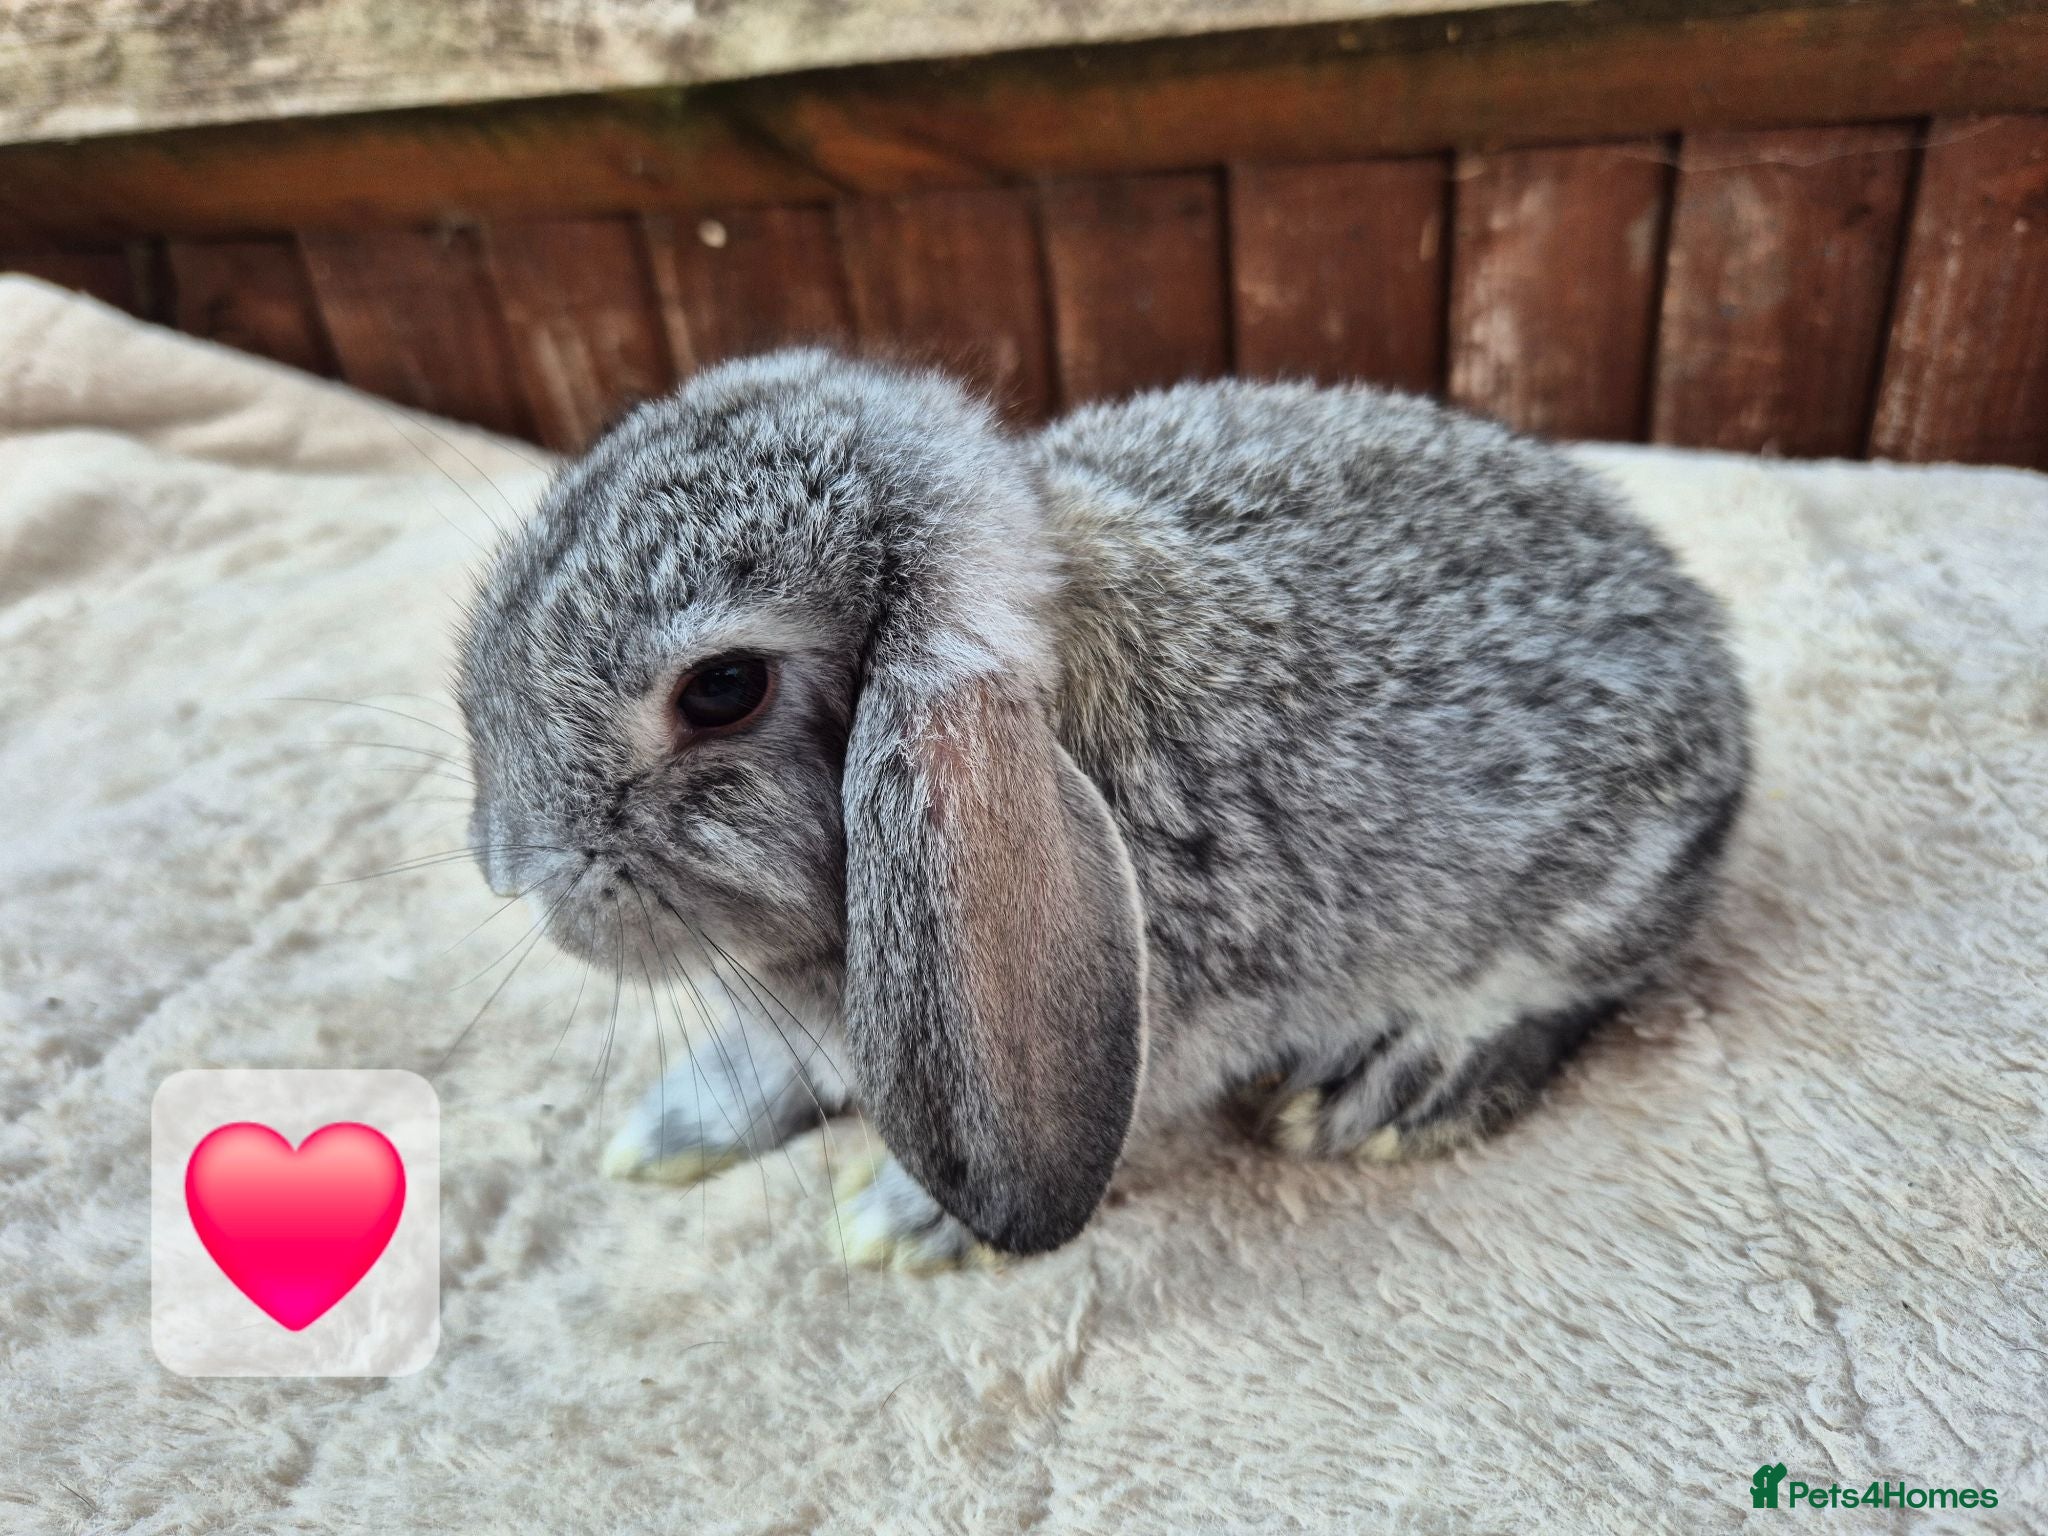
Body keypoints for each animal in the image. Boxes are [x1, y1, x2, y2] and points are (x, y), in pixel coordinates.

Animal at [456, 348, 1748, 1271]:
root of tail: (1713, 666)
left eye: (722, 690)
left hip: (1589, 897)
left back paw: (1392, 1089)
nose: (515, 871)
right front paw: (672, 1130)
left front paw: (905, 1223)